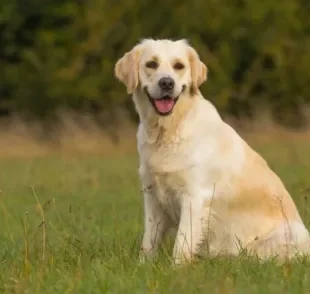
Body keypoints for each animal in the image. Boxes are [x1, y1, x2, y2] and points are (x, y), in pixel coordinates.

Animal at [114, 38, 310, 266]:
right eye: (151, 64)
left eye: (179, 66)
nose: (167, 83)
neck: (168, 130)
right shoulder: (152, 195)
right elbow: (149, 242)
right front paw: (143, 266)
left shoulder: (194, 196)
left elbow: (181, 244)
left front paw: (176, 270)